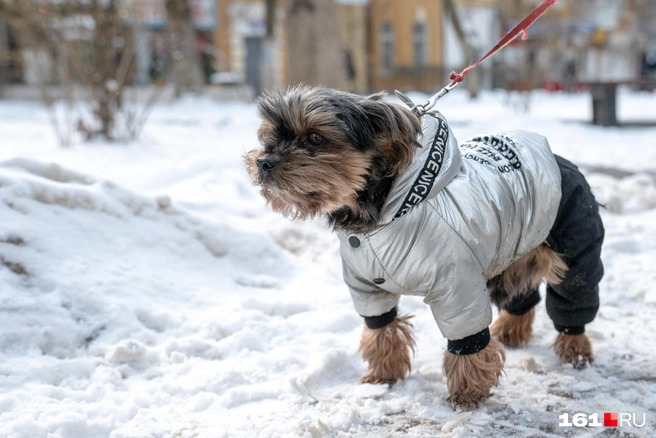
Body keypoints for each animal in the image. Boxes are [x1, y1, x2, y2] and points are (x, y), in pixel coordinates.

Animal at [245, 84, 604, 408]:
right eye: (270, 135)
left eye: (315, 138)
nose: (265, 162)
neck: (377, 217)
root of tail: (560, 159)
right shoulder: (367, 287)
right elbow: (381, 328)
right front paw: (383, 375)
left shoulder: (456, 285)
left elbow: (466, 339)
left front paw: (468, 392)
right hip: (514, 247)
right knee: (521, 290)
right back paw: (511, 330)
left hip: (573, 236)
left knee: (574, 291)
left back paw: (575, 350)